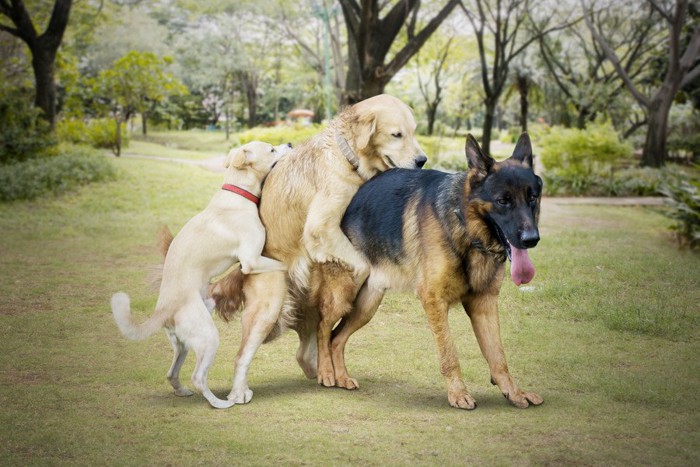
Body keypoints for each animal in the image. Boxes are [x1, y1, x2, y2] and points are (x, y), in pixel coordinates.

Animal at [111, 141, 290, 408]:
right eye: (271, 150)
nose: (289, 143)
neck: (237, 193)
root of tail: (164, 309)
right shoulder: (251, 260)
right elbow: (284, 264)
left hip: (185, 341)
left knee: (172, 373)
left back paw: (182, 391)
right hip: (208, 337)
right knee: (197, 377)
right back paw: (219, 403)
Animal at [314, 133, 544, 410]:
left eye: (532, 198)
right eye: (503, 201)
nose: (532, 239)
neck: (464, 225)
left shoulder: (484, 304)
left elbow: (498, 355)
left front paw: (514, 392)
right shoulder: (434, 300)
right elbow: (449, 352)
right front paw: (458, 393)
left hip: (366, 306)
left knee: (337, 338)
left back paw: (342, 377)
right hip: (344, 294)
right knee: (322, 328)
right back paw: (326, 372)